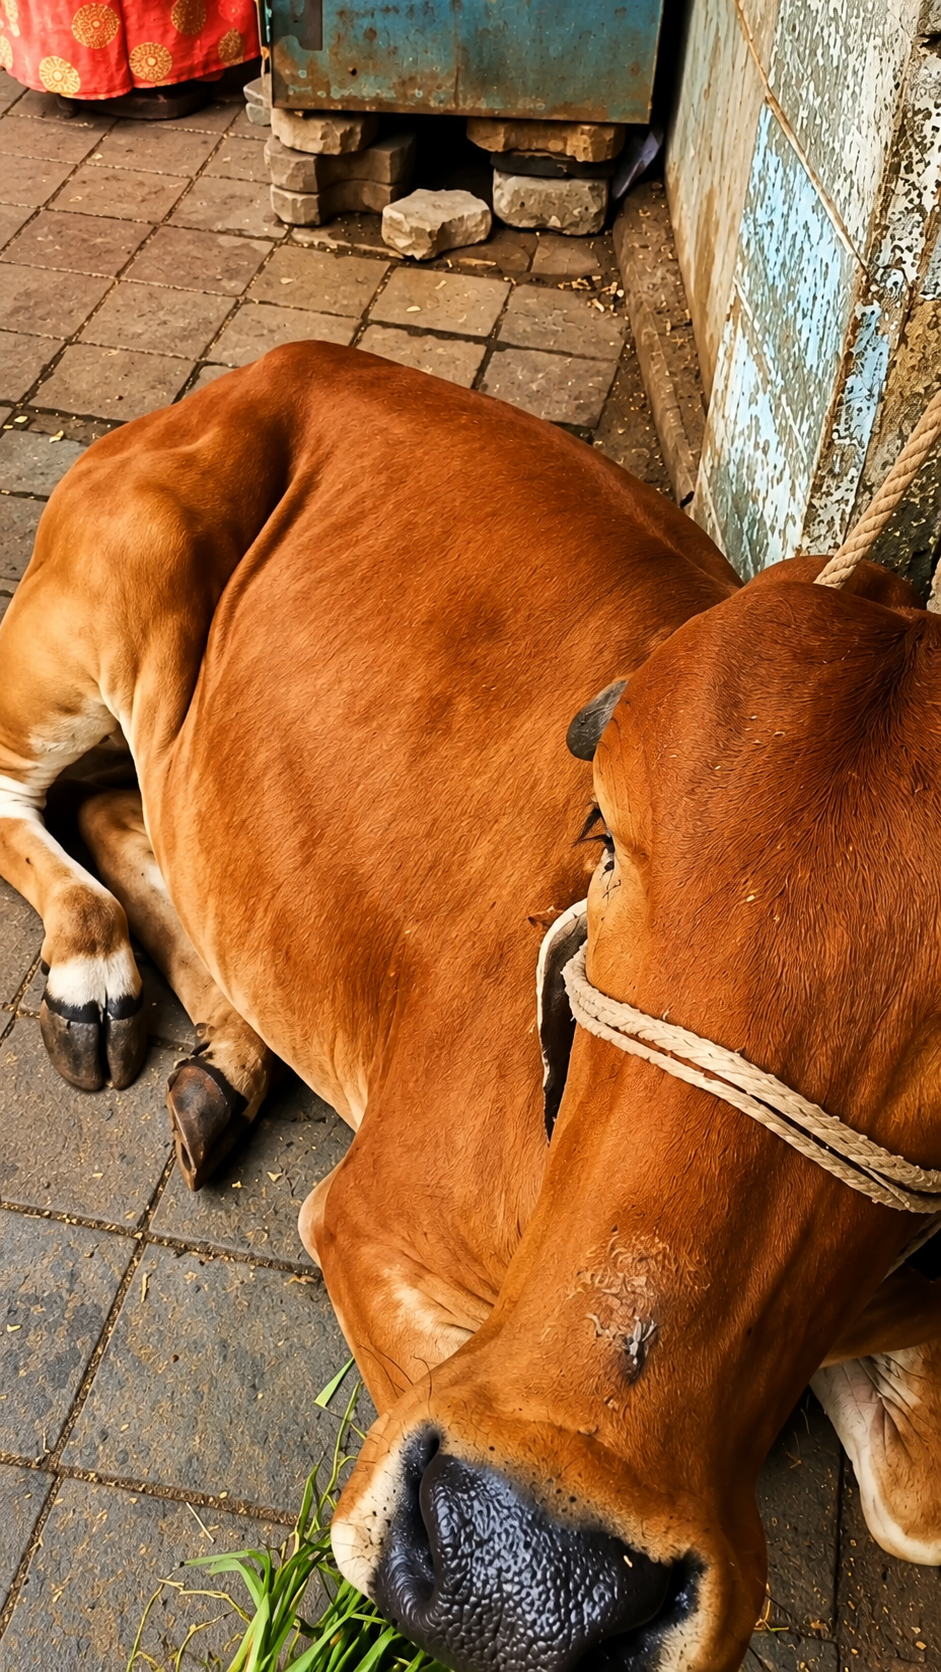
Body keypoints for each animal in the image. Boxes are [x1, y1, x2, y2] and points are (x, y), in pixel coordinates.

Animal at [2, 341, 941, 1672]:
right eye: (604, 838)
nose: (531, 1570)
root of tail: (267, 365)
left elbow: (910, 1505)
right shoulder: (371, 1228)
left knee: (127, 807)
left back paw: (223, 1062)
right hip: (105, 592)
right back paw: (93, 970)